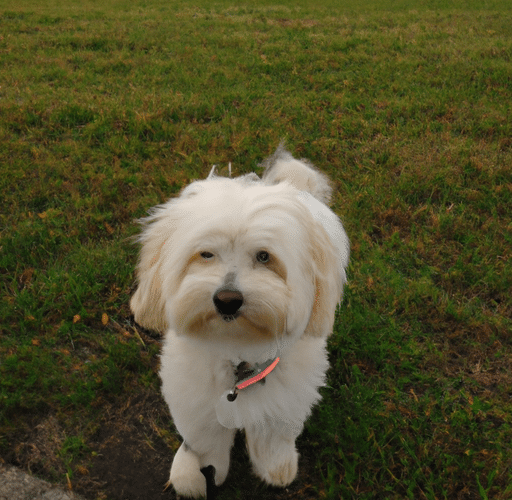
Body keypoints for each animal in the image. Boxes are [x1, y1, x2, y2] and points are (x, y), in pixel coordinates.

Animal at [130, 145, 350, 496]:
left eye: (264, 257)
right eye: (206, 254)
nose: (227, 299)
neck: (237, 355)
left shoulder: (284, 402)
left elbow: (274, 436)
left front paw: (275, 467)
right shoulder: (195, 401)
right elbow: (205, 443)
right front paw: (199, 474)